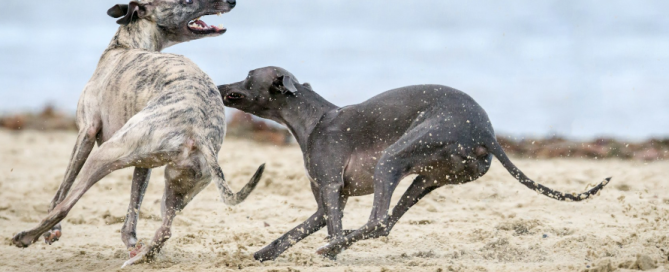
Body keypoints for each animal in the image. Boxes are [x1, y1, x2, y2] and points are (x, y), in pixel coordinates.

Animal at [12, 0, 264, 268]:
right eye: (186, 0)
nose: (232, 2)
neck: (127, 45)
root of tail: (199, 130)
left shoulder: (87, 132)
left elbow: (61, 191)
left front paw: (52, 231)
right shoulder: (144, 164)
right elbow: (133, 207)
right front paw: (132, 244)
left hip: (106, 153)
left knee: (66, 204)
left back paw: (26, 236)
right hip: (177, 185)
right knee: (165, 230)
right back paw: (142, 257)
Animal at [218, 66, 612, 262]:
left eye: (248, 76)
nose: (219, 86)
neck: (314, 118)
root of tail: (486, 132)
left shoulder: (331, 188)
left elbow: (332, 227)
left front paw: (331, 252)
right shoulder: (327, 202)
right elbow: (294, 232)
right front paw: (262, 254)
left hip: (394, 157)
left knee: (378, 221)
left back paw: (334, 247)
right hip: (426, 178)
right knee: (387, 223)